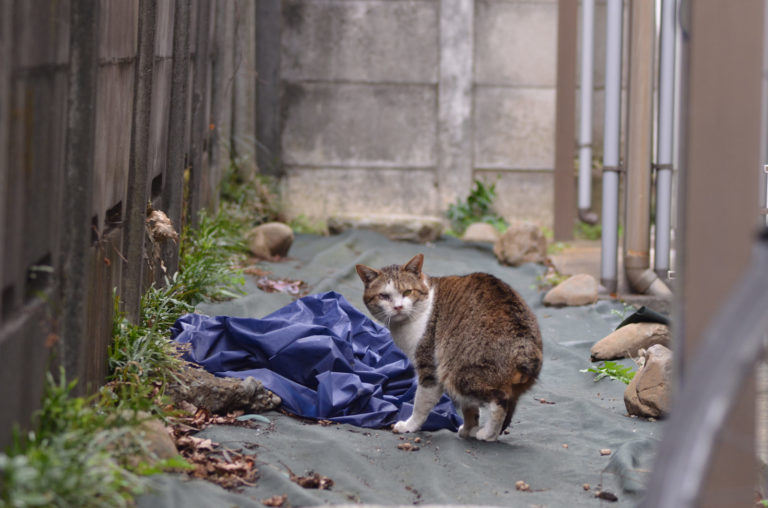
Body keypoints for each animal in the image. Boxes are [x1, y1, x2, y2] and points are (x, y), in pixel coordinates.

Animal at [356, 254, 544, 440]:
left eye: (407, 292)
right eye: (384, 296)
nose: (398, 307)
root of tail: (525, 347)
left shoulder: (430, 368)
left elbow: (421, 404)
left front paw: (409, 426)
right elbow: (470, 409)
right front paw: (468, 429)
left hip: (458, 373)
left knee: (500, 402)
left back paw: (487, 434)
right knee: (507, 406)